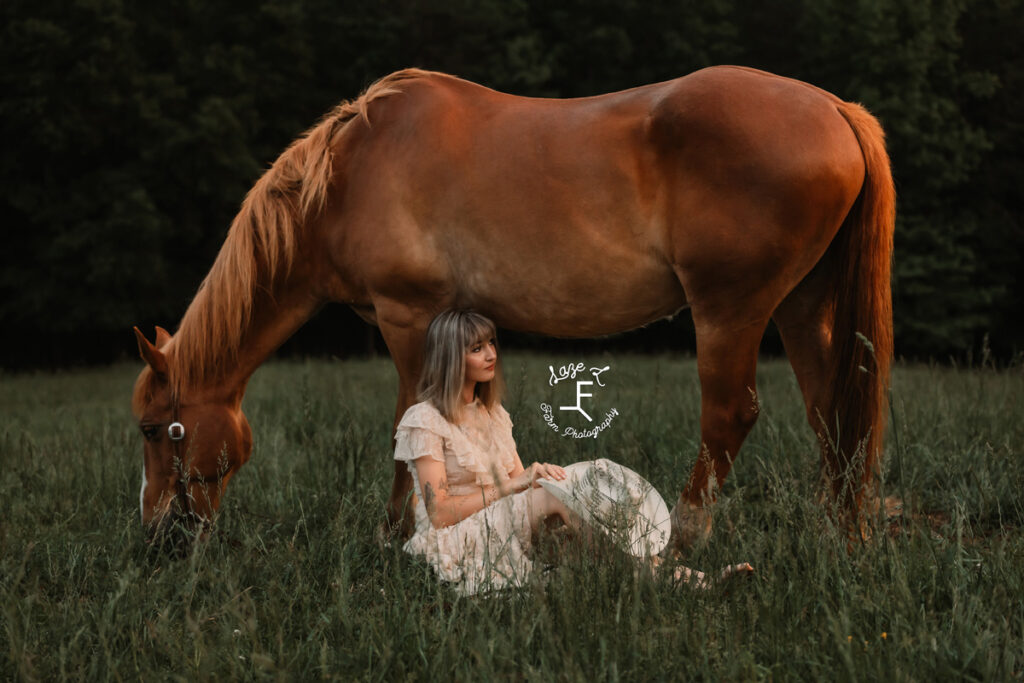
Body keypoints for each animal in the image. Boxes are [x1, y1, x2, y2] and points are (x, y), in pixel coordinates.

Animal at [132, 66, 892, 548]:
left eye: (154, 429)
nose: (158, 534)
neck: (349, 175)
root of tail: (834, 109)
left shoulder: (408, 315)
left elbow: (407, 428)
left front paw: (394, 533)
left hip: (730, 309)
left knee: (731, 414)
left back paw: (686, 536)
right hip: (800, 303)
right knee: (830, 408)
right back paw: (838, 530)